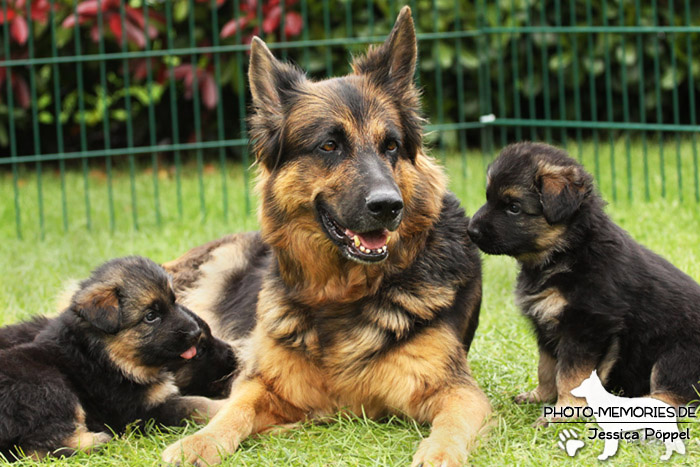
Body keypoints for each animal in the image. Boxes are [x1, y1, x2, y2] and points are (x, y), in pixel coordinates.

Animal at [161, 7, 490, 467]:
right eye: (329, 146)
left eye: (391, 146)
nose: (388, 206)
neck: (342, 294)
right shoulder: (266, 382)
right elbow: (235, 410)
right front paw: (201, 441)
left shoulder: (455, 389)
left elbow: (452, 425)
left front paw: (440, 454)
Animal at [468, 143, 700, 424]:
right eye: (488, 197)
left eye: (513, 207)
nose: (470, 231)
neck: (568, 251)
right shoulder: (546, 326)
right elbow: (547, 368)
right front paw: (541, 397)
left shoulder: (586, 326)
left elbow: (570, 375)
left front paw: (562, 412)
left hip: (677, 355)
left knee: (674, 394)